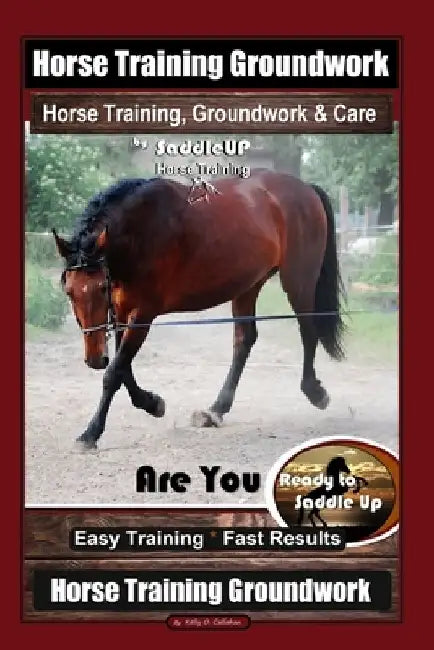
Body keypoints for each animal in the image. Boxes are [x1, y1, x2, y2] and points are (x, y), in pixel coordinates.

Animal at [52, 169, 345, 449]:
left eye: (102, 287)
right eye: (69, 290)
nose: (94, 359)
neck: (140, 232)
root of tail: (306, 188)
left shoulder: (142, 314)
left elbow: (114, 373)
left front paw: (90, 434)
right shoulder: (122, 314)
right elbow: (124, 370)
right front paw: (153, 403)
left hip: (298, 281)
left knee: (308, 331)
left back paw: (315, 392)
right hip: (248, 285)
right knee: (245, 339)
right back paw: (216, 410)